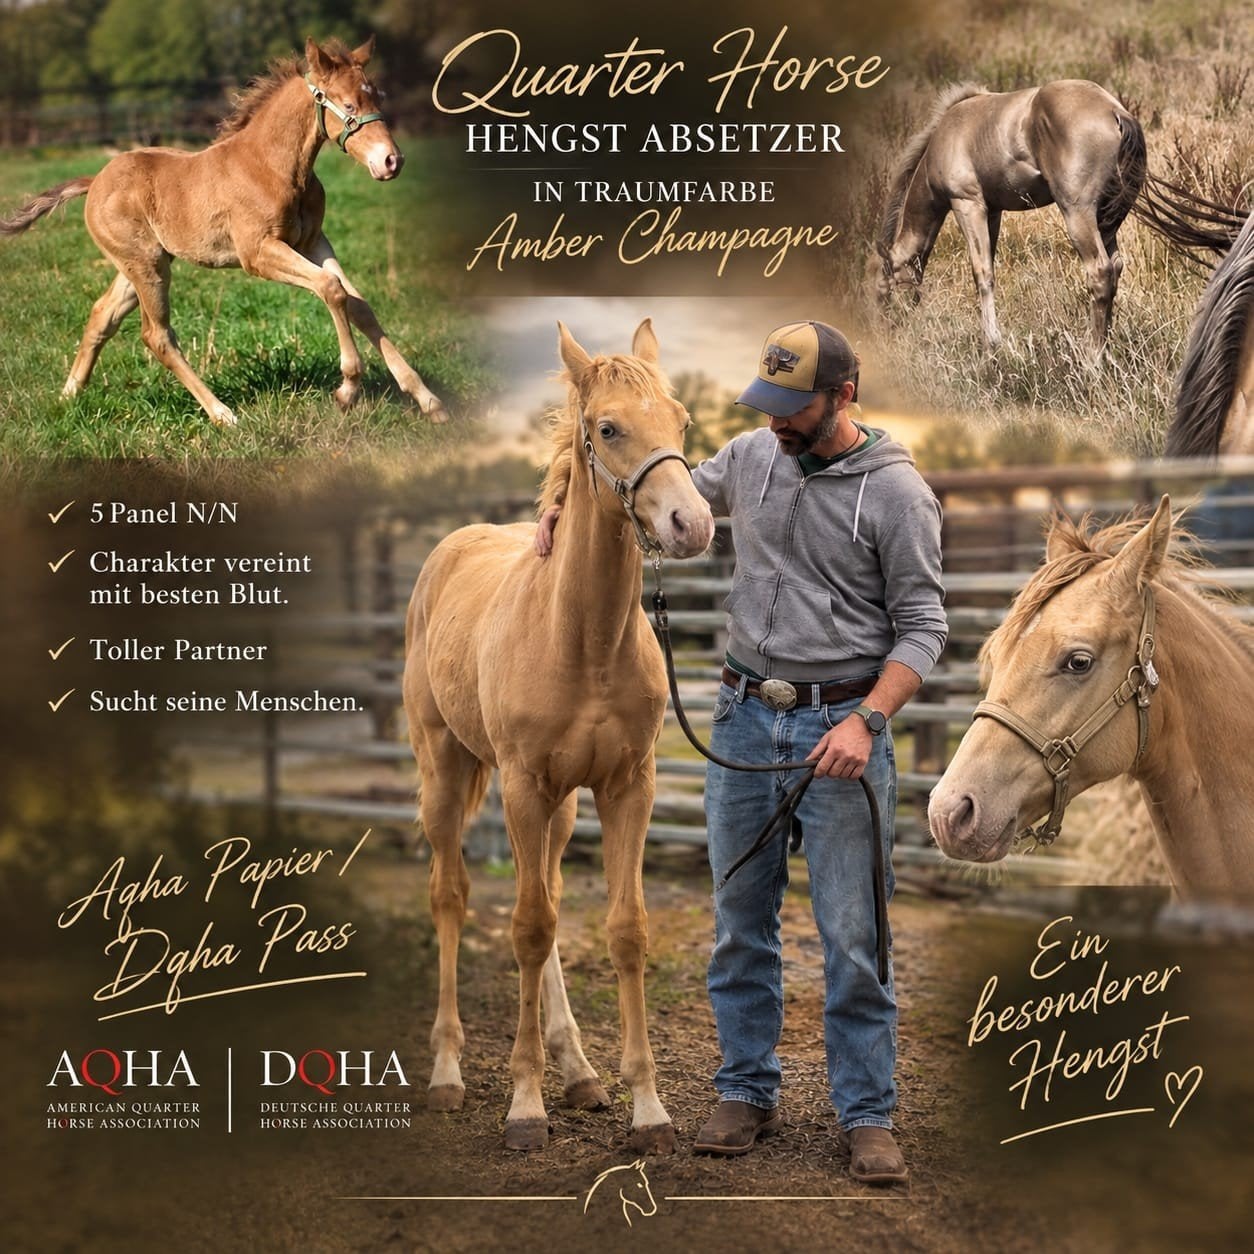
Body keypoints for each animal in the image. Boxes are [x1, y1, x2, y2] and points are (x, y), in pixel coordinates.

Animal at [0, 36, 446, 427]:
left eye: (378, 97)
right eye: (349, 104)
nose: (392, 161)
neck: (273, 166)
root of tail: (94, 181)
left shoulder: (314, 242)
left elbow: (357, 302)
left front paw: (427, 399)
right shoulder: (258, 253)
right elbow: (331, 289)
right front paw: (347, 389)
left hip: (143, 264)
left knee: (101, 316)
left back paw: (68, 396)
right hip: (146, 265)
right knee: (157, 335)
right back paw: (221, 414)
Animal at [402, 319, 714, 1152]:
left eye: (681, 421)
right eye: (607, 428)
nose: (692, 524)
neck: (582, 638)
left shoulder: (626, 785)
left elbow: (621, 929)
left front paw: (647, 1109)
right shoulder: (520, 784)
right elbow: (527, 928)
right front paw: (523, 1106)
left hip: (559, 804)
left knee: (542, 890)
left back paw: (577, 1071)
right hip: (447, 770)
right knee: (452, 897)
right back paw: (448, 1073)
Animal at [874, 80, 1147, 354]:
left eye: (884, 291)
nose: (884, 335)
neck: (942, 140)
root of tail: (1115, 112)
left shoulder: (967, 204)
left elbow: (982, 273)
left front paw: (991, 343)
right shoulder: (993, 212)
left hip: (1078, 214)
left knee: (1100, 273)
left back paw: (1093, 355)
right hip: (1107, 220)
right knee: (1115, 269)